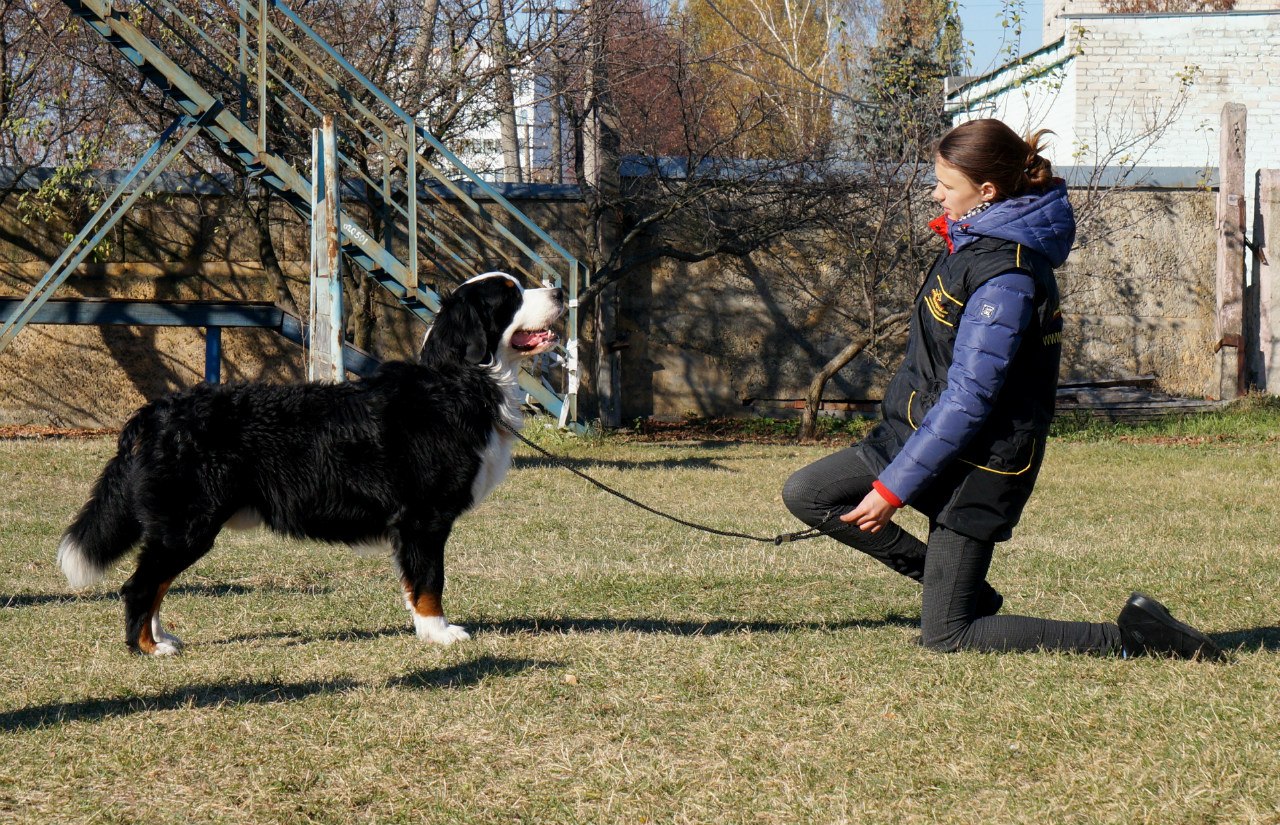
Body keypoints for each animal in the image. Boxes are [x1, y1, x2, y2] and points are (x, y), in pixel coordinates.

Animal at [57, 273, 563, 652]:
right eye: (510, 295)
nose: (559, 290)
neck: (460, 381)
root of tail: (158, 410)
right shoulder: (425, 518)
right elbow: (430, 582)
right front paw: (439, 632)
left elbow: (415, 582)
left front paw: (424, 627)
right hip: (188, 525)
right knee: (141, 586)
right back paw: (148, 647)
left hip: (180, 528)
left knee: (157, 584)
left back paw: (162, 637)